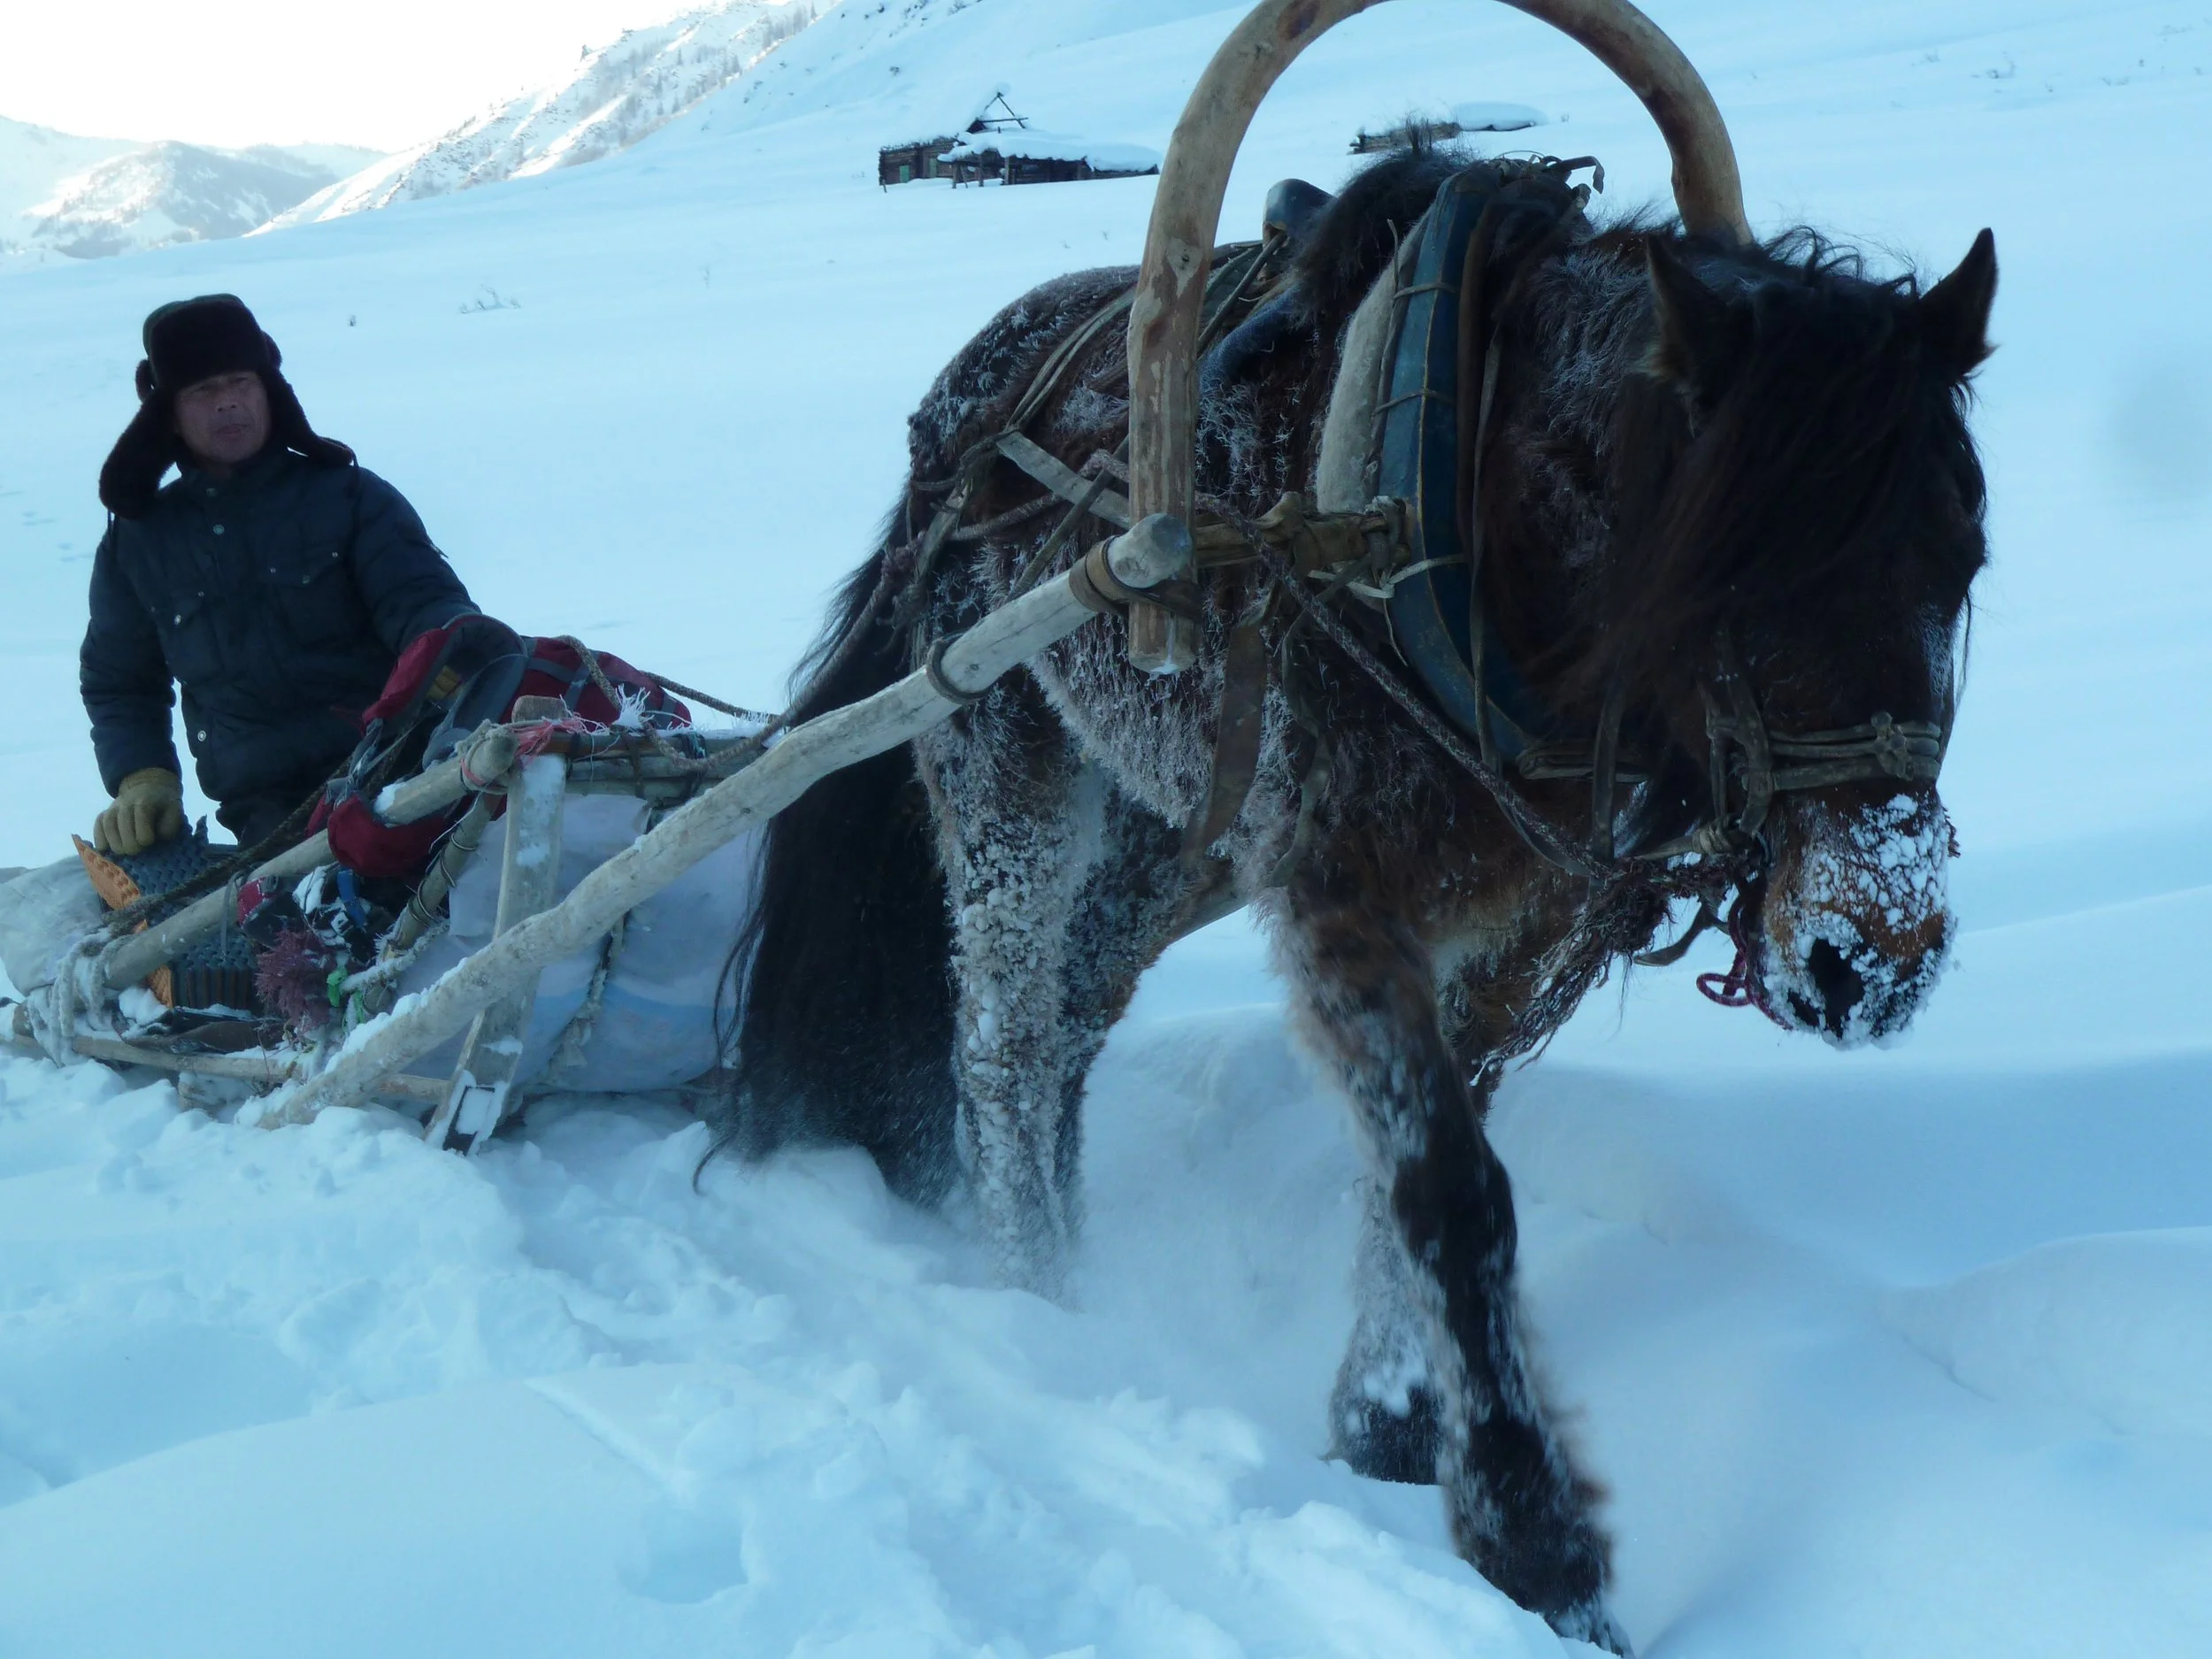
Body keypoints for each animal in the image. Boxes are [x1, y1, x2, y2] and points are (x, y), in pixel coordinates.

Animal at [717, 0, 1995, 1645]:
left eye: (1964, 558)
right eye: (1723, 574)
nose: (1872, 954)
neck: (1459, 521)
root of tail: (954, 405)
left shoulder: (1526, 932)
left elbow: (1435, 1155)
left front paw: (1388, 1422)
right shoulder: (1342, 891)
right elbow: (1451, 1183)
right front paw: (1529, 1532)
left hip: (1176, 832)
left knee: (1071, 1019)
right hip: (1005, 759)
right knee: (1002, 1036)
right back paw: (1036, 1297)